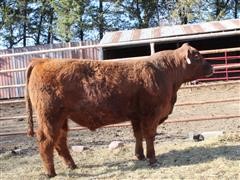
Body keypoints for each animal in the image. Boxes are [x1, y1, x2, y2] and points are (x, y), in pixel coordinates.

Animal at [25, 43, 214, 177]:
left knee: (60, 141)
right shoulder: (151, 114)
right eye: (197, 56)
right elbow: (149, 136)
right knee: (46, 141)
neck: (165, 72)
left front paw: (140, 155)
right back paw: (50, 172)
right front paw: (152, 159)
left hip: (62, 118)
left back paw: (71, 165)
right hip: (50, 117)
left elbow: (138, 135)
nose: (212, 67)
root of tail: (41, 61)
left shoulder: (136, 116)